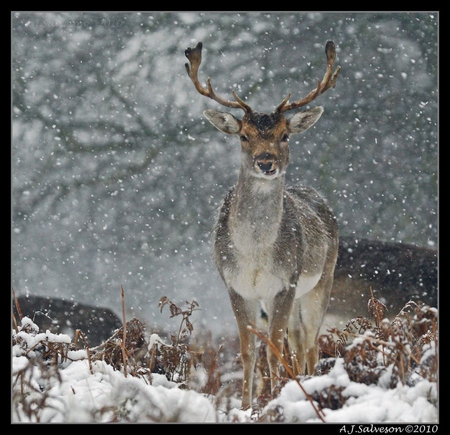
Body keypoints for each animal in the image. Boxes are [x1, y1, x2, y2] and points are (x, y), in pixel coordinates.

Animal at [185, 39, 340, 410]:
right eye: (243, 135)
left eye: (285, 135)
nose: (265, 161)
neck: (254, 253)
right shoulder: (235, 285)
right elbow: (247, 352)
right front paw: (245, 405)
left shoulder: (286, 282)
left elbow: (272, 350)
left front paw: (274, 399)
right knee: (297, 342)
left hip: (321, 281)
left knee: (309, 343)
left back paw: (308, 381)